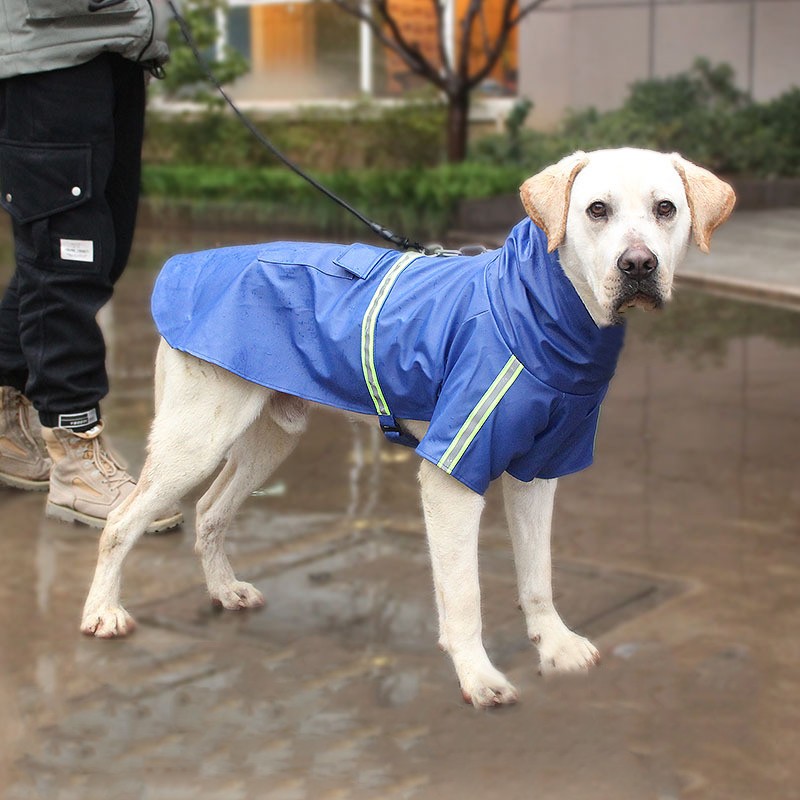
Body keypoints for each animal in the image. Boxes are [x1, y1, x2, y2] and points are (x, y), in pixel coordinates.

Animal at [83, 148, 736, 708]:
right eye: (596, 210)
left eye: (666, 209)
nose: (639, 266)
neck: (544, 310)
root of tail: (185, 264)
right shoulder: (452, 473)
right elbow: (464, 593)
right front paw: (477, 677)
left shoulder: (538, 470)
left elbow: (538, 574)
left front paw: (554, 645)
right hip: (195, 437)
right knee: (122, 523)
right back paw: (102, 613)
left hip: (271, 436)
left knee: (211, 510)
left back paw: (223, 590)